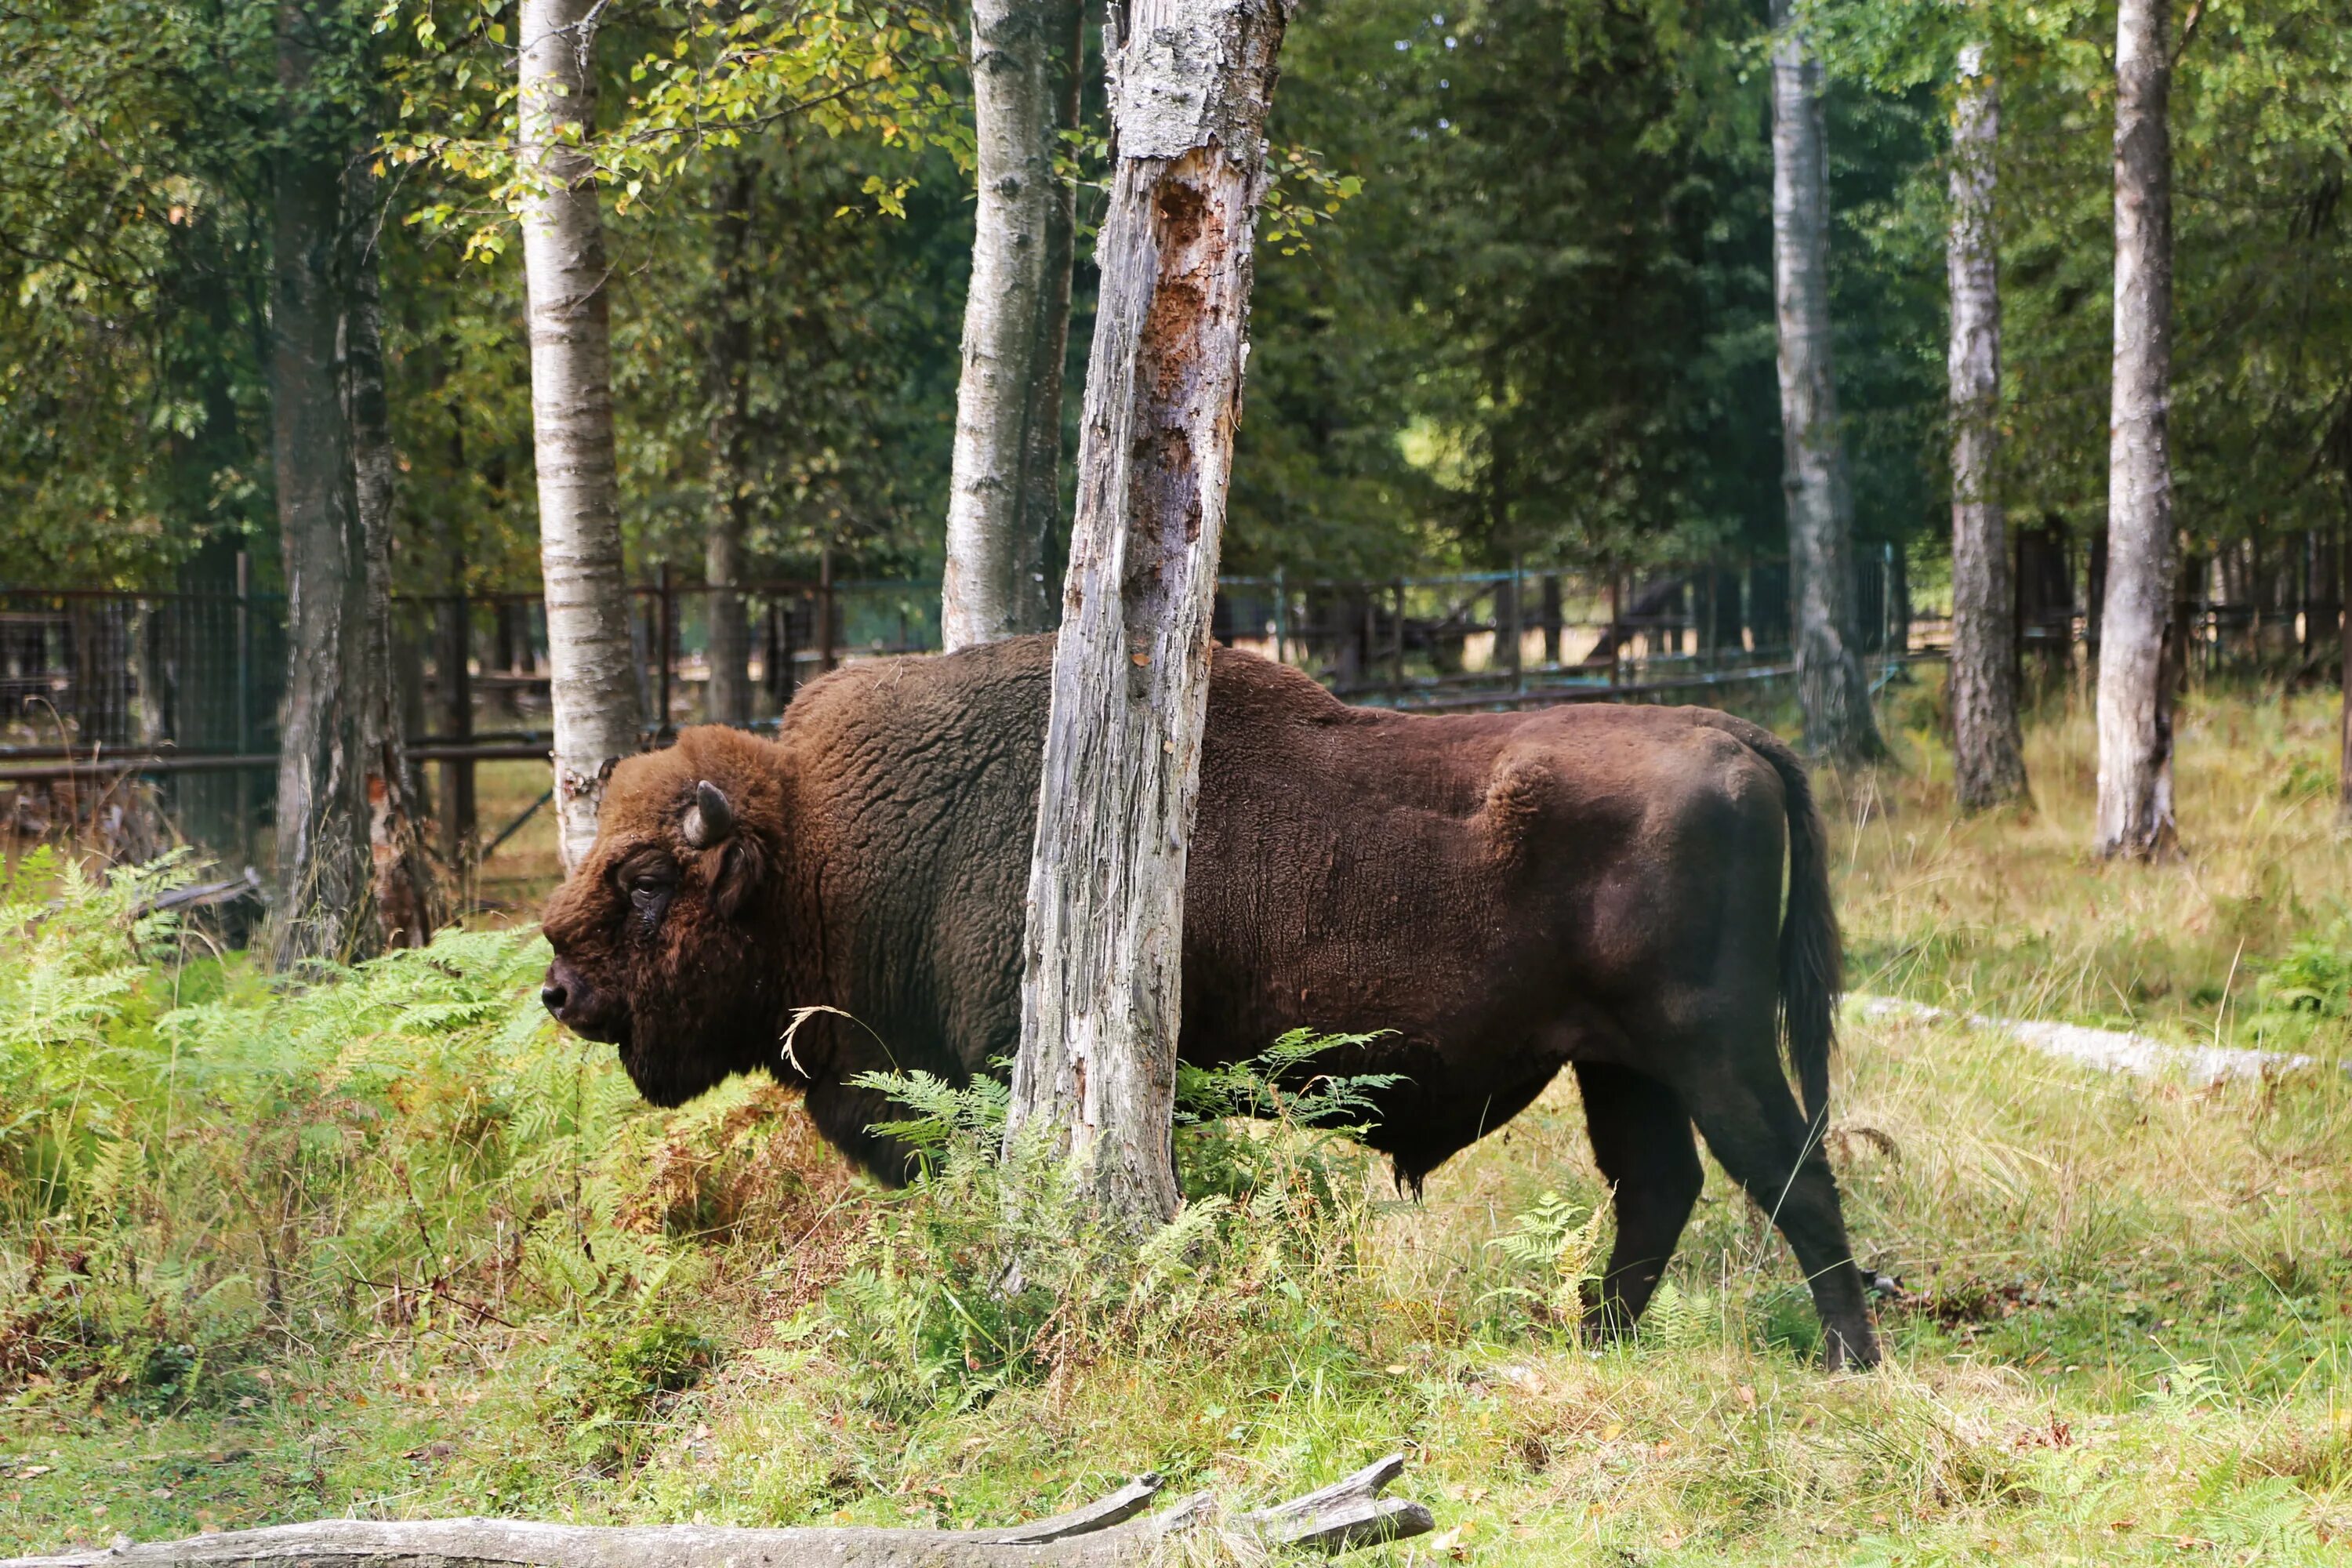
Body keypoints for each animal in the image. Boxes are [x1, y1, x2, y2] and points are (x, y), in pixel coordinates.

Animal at [541, 630, 1882, 1363]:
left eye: (650, 879)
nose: (558, 988)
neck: (825, 841)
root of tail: (1732, 734)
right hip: (1622, 1065)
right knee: (1661, 1189)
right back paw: (1595, 1340)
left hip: (1710, 1046)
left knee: (1792, 1174)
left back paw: (1848, 1361)